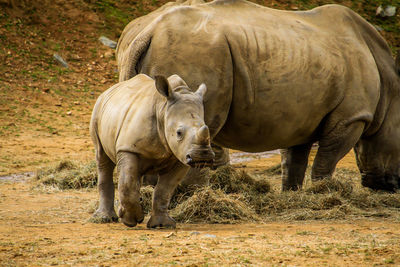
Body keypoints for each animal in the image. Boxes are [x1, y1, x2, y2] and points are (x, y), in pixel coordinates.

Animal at [90, 74, 216, 229]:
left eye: (206, 127)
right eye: (179, 133)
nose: (202, 156)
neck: (163, 110)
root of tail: (108, 90)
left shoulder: (181, 156)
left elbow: (164, 189)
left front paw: (161, 224)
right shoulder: (128, 148)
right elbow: (127, 183)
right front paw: (130, 220)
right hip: (97, 111)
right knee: (103, 160)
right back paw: (105, 218)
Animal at [117, 0, 400, 194]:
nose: (389, 185)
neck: (391, 88)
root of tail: (149, 31)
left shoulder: (302, 116)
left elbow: (294, 160)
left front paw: (292, 194)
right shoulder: (353, 117)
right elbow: (326, 161)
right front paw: (323, 193)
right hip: (195, 52)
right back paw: (191, 195)